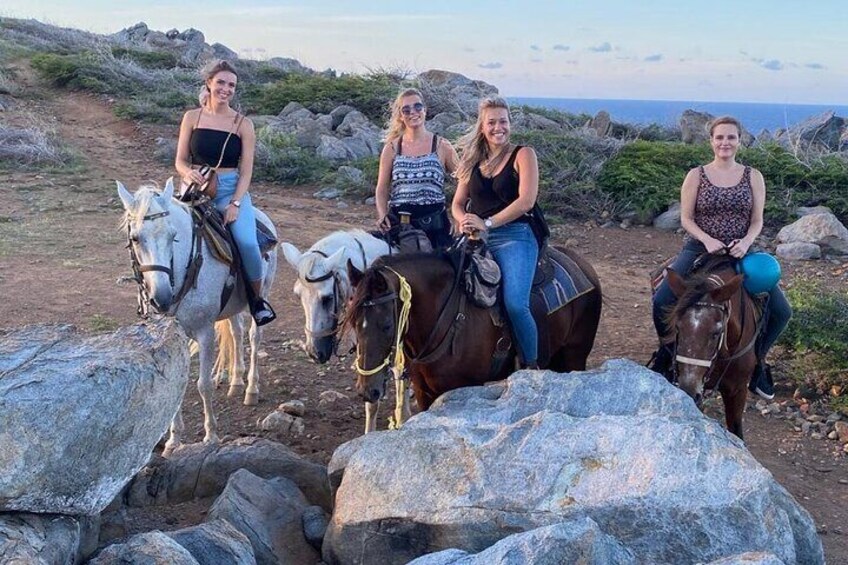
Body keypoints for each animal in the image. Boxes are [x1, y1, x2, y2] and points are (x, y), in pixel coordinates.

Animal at [117, 178, 278, 452]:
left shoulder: (205, 333)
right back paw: (236, 381)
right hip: (232, 306)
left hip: (261, 293)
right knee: (236, 333)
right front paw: (173, 440)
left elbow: (203, 386)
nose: (161, 298)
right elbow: (176, 384)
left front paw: (211, 435)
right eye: (136, 238)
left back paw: (251, 389)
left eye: (173, 236)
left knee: (255, 338)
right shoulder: (173, 338)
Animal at [344, 247, 604, 410]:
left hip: (575, 355)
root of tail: (584, 266)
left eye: (387, 325)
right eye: (353, 323)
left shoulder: (464, 388)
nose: (367, 391)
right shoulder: (423, 391)